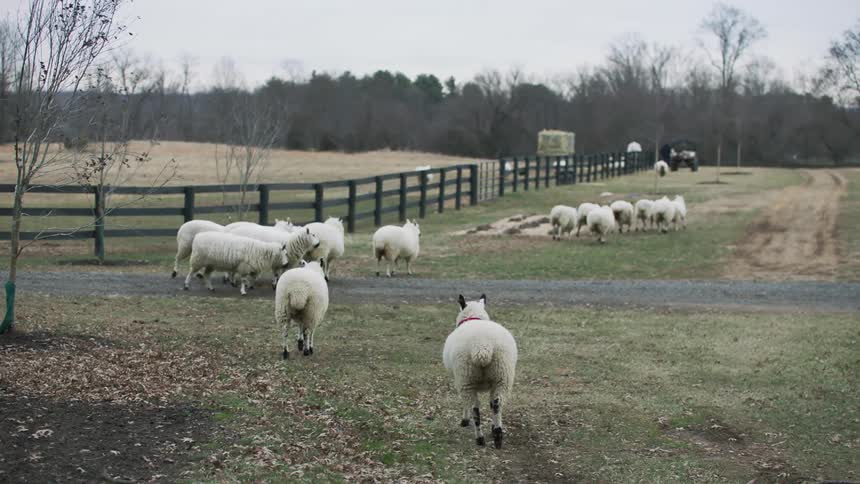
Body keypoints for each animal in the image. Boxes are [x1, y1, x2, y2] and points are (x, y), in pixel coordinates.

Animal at [443, 294, 517, 449]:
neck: (474, 317)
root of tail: (482, 347)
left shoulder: (459, 381)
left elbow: (465, 404)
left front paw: (464, 420)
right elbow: (492, 404)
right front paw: (493, 427)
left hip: (466, 377)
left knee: (475, 409)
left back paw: (480, 439)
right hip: (502, 376)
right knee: (497, 404)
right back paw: (497, 436)